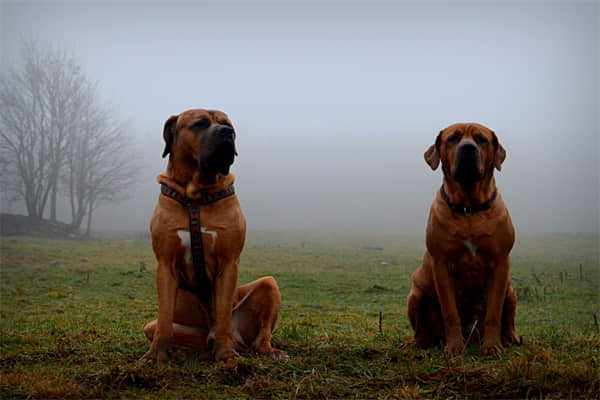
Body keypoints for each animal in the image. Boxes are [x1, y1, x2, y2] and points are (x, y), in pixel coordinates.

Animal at [143, 108, 288, 362]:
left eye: (229, 124)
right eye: (199, 124)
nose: (227, 132)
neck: (196, 196)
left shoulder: (228, 262)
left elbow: (223, 315)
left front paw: (227, 355)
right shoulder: (166, 264)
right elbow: (164, 319)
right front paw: (155, 355)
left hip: (268, 285)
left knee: (258, 335)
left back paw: (264, 350)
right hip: (157, 327)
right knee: (170, 330)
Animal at [410, 123, 516, 354]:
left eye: (481, 139)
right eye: (453, 138)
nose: (468, 148)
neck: (469, 209)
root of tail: (472, 337)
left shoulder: (500, 263)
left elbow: (494, 313)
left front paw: (493, 346)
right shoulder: (441, 265)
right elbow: (450, 313)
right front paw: (454, 347)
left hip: (510, 290)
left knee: (508, 316)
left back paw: (510, 338)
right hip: (415, 294)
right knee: (421, 329)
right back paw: (421, 343)